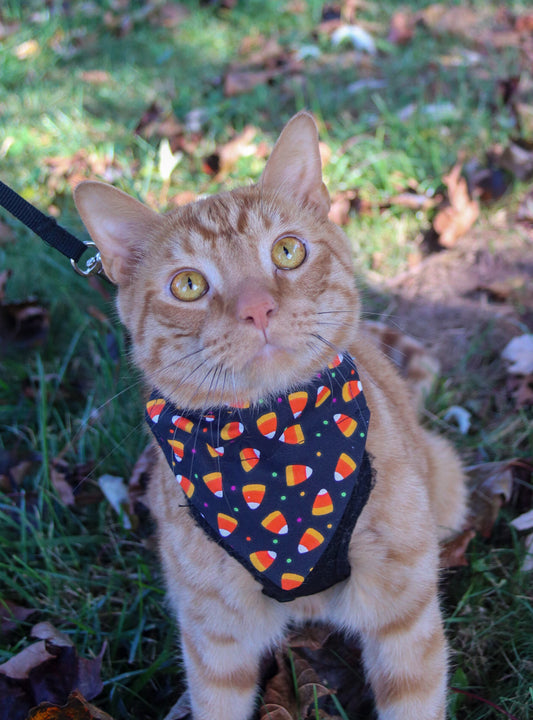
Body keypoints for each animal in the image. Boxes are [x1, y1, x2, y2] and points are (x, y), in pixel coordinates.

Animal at [75, 114, 466, 720]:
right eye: (188, 285)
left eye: (287, 252)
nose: (258, 309)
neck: (277, 444)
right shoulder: (216, 641)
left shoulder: (404, 618)